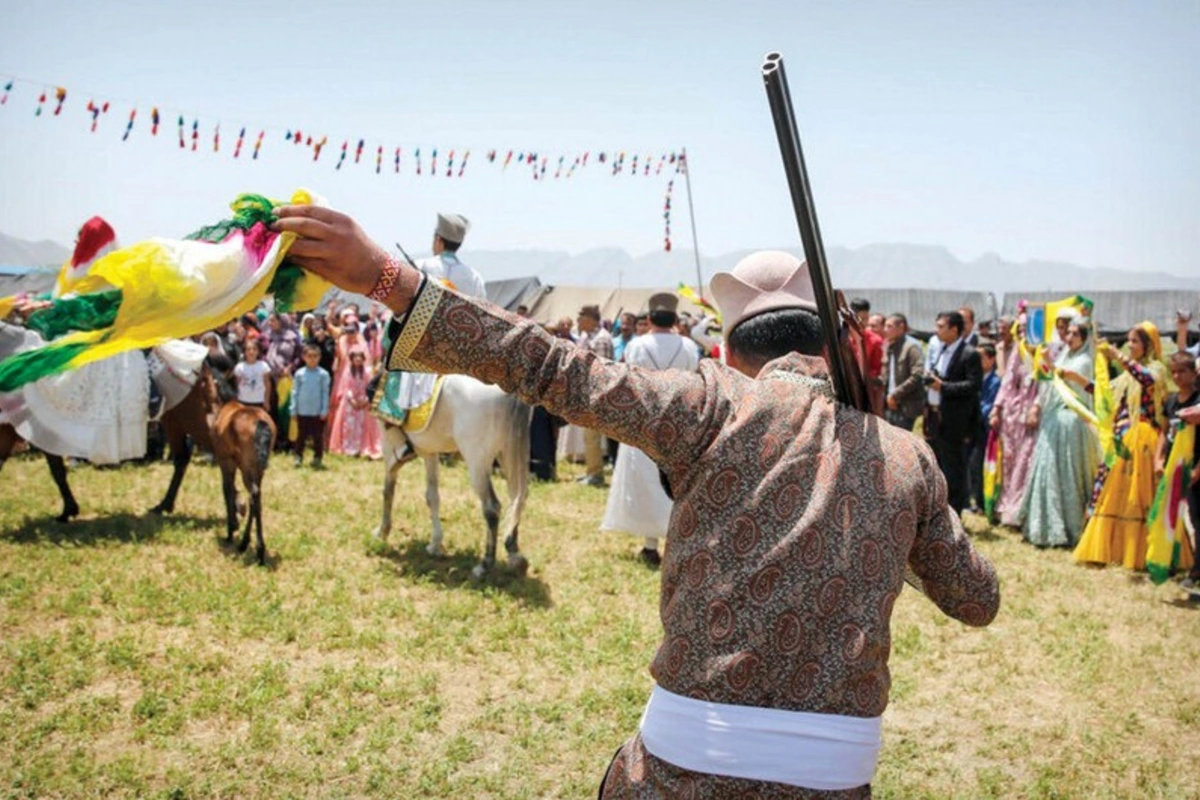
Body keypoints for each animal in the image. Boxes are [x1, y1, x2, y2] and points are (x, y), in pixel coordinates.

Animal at [376, 376, 532, 582]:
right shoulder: (430, 451)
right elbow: (432, 496)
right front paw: (435, 544)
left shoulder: (389, 443)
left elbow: (388, 490)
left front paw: (382, 532)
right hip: (510, 455)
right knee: (516, 501)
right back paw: (515, 557)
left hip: (477, 461)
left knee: (492, 508)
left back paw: (484, 566)